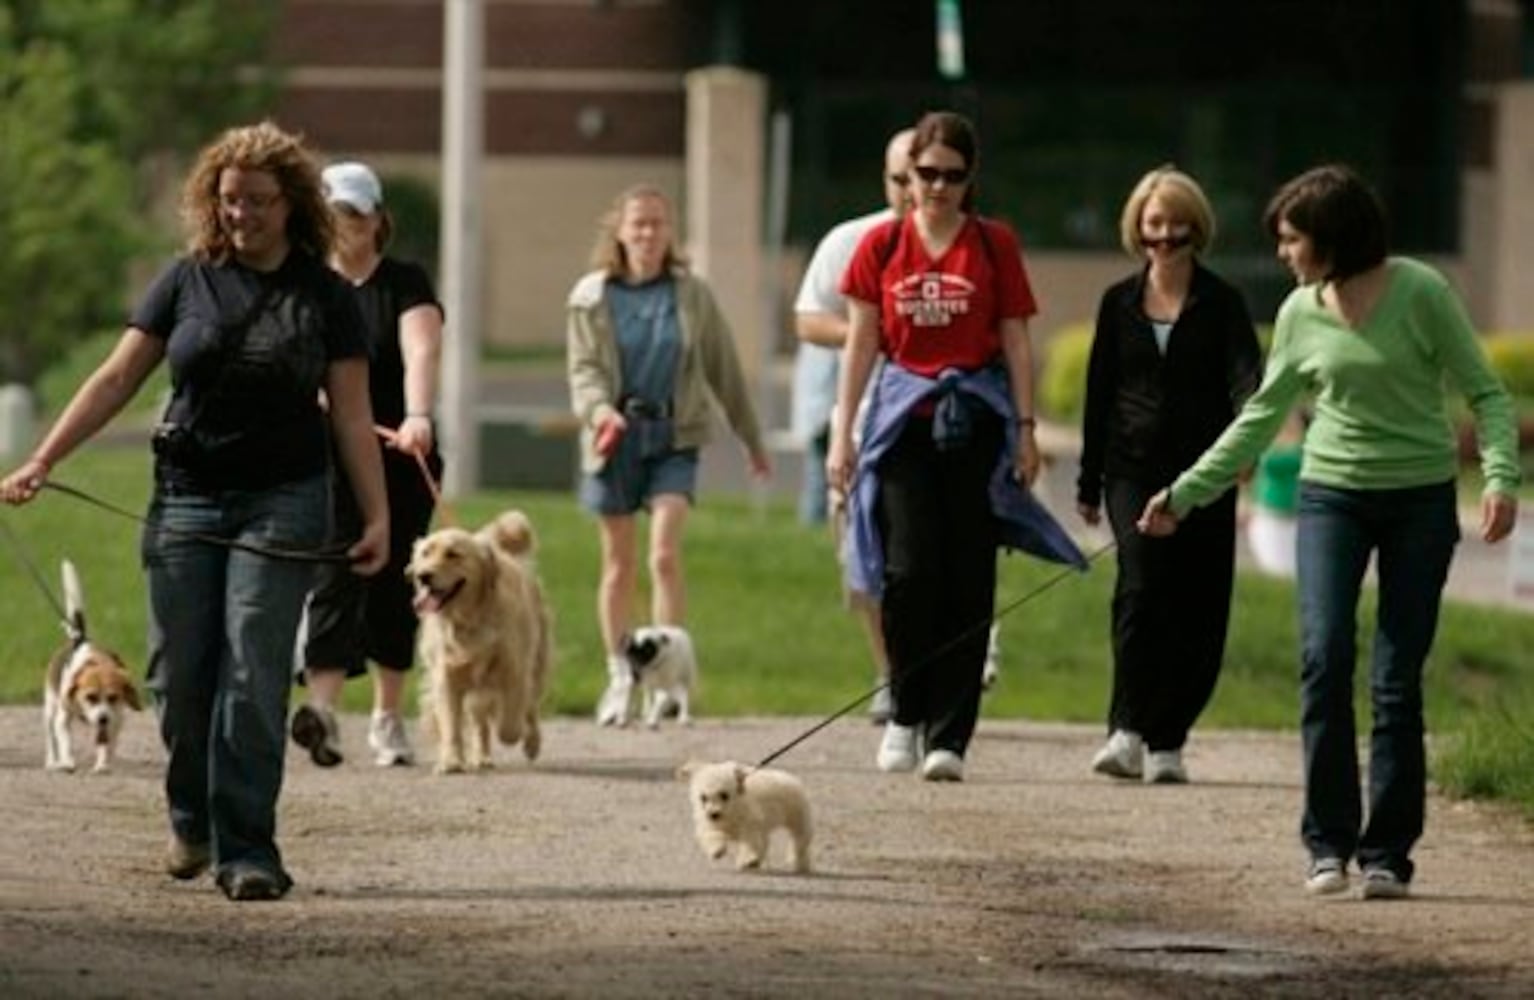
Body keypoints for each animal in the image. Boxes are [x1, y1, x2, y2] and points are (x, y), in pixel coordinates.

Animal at [678, 760, 809, 871]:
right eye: (703, 797)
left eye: (724, 795)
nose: (713, 814)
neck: (732, 811)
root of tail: (791, 779)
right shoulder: (710, 825)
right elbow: (712, 835)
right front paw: (717, 849)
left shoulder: (751, 825)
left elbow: (751, 842)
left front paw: (749, 858)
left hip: (799, 818)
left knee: (800, 842)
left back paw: (801, 864)